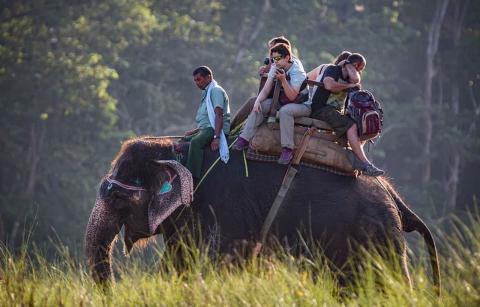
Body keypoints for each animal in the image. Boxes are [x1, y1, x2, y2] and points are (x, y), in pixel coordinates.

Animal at [85, 137, 438, 292]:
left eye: (116, 196)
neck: (176, 147)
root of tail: (393, 193)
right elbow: (179, 263)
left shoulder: (226, 207)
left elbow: (221, 261)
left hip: (375, 234)